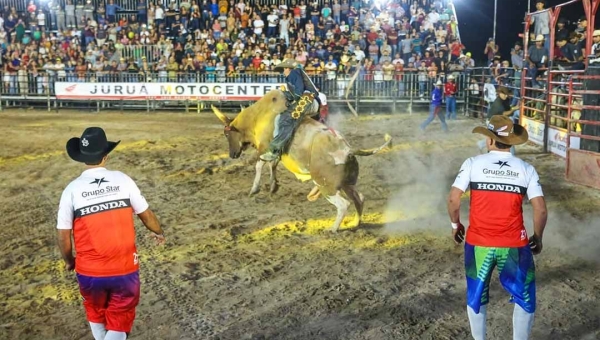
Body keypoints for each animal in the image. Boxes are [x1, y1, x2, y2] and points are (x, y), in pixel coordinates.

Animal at [211, 89, 394, 232]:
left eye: (226, 134)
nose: (232, 154)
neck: (259, 116)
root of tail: (348, 150)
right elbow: (271, 165)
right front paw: (273, 186)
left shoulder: (266, 148)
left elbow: (260, 164)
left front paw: (255, 189)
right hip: (346, 183)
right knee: (359, 198)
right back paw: (355, 223)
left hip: (327, 186)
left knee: (343, 204)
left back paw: (333, 228)